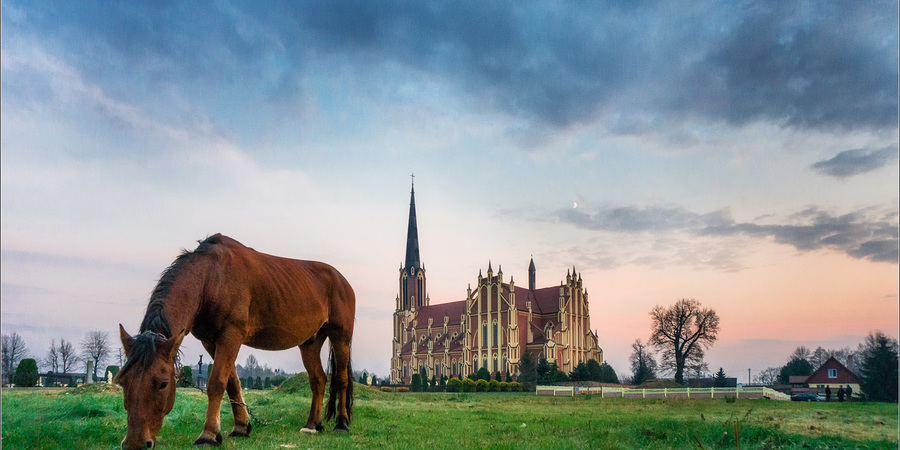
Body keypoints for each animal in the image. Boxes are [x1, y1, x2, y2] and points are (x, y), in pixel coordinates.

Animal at [112, 234, 352, 448]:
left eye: (163, 384)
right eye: (122, 380)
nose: (134, 443)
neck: (211, 277)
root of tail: (342, 280)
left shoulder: (231, 335)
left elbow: (217, 382)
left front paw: (208, 435)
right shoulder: (211, 341)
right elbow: (232, 383)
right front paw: (241, 427)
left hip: (341, 336)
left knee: (341, 378)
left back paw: (341, 424)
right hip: (310, 341)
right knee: (318, 379)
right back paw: (312, 425)